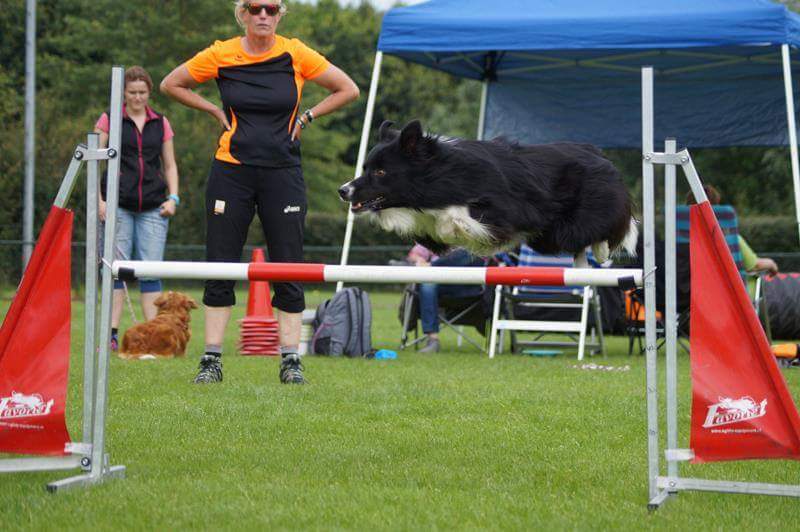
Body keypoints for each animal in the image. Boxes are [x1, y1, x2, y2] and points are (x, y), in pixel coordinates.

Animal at [338, 120, 637, 265]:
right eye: (365, 168)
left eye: (380, 172)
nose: (343, 190)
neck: (440, 173)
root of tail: (598, 153)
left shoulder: (506, 210)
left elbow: (457, 217)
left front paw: (457, 229)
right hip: (548, 236)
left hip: (576, 217)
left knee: (602, 228)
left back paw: (601, 252)